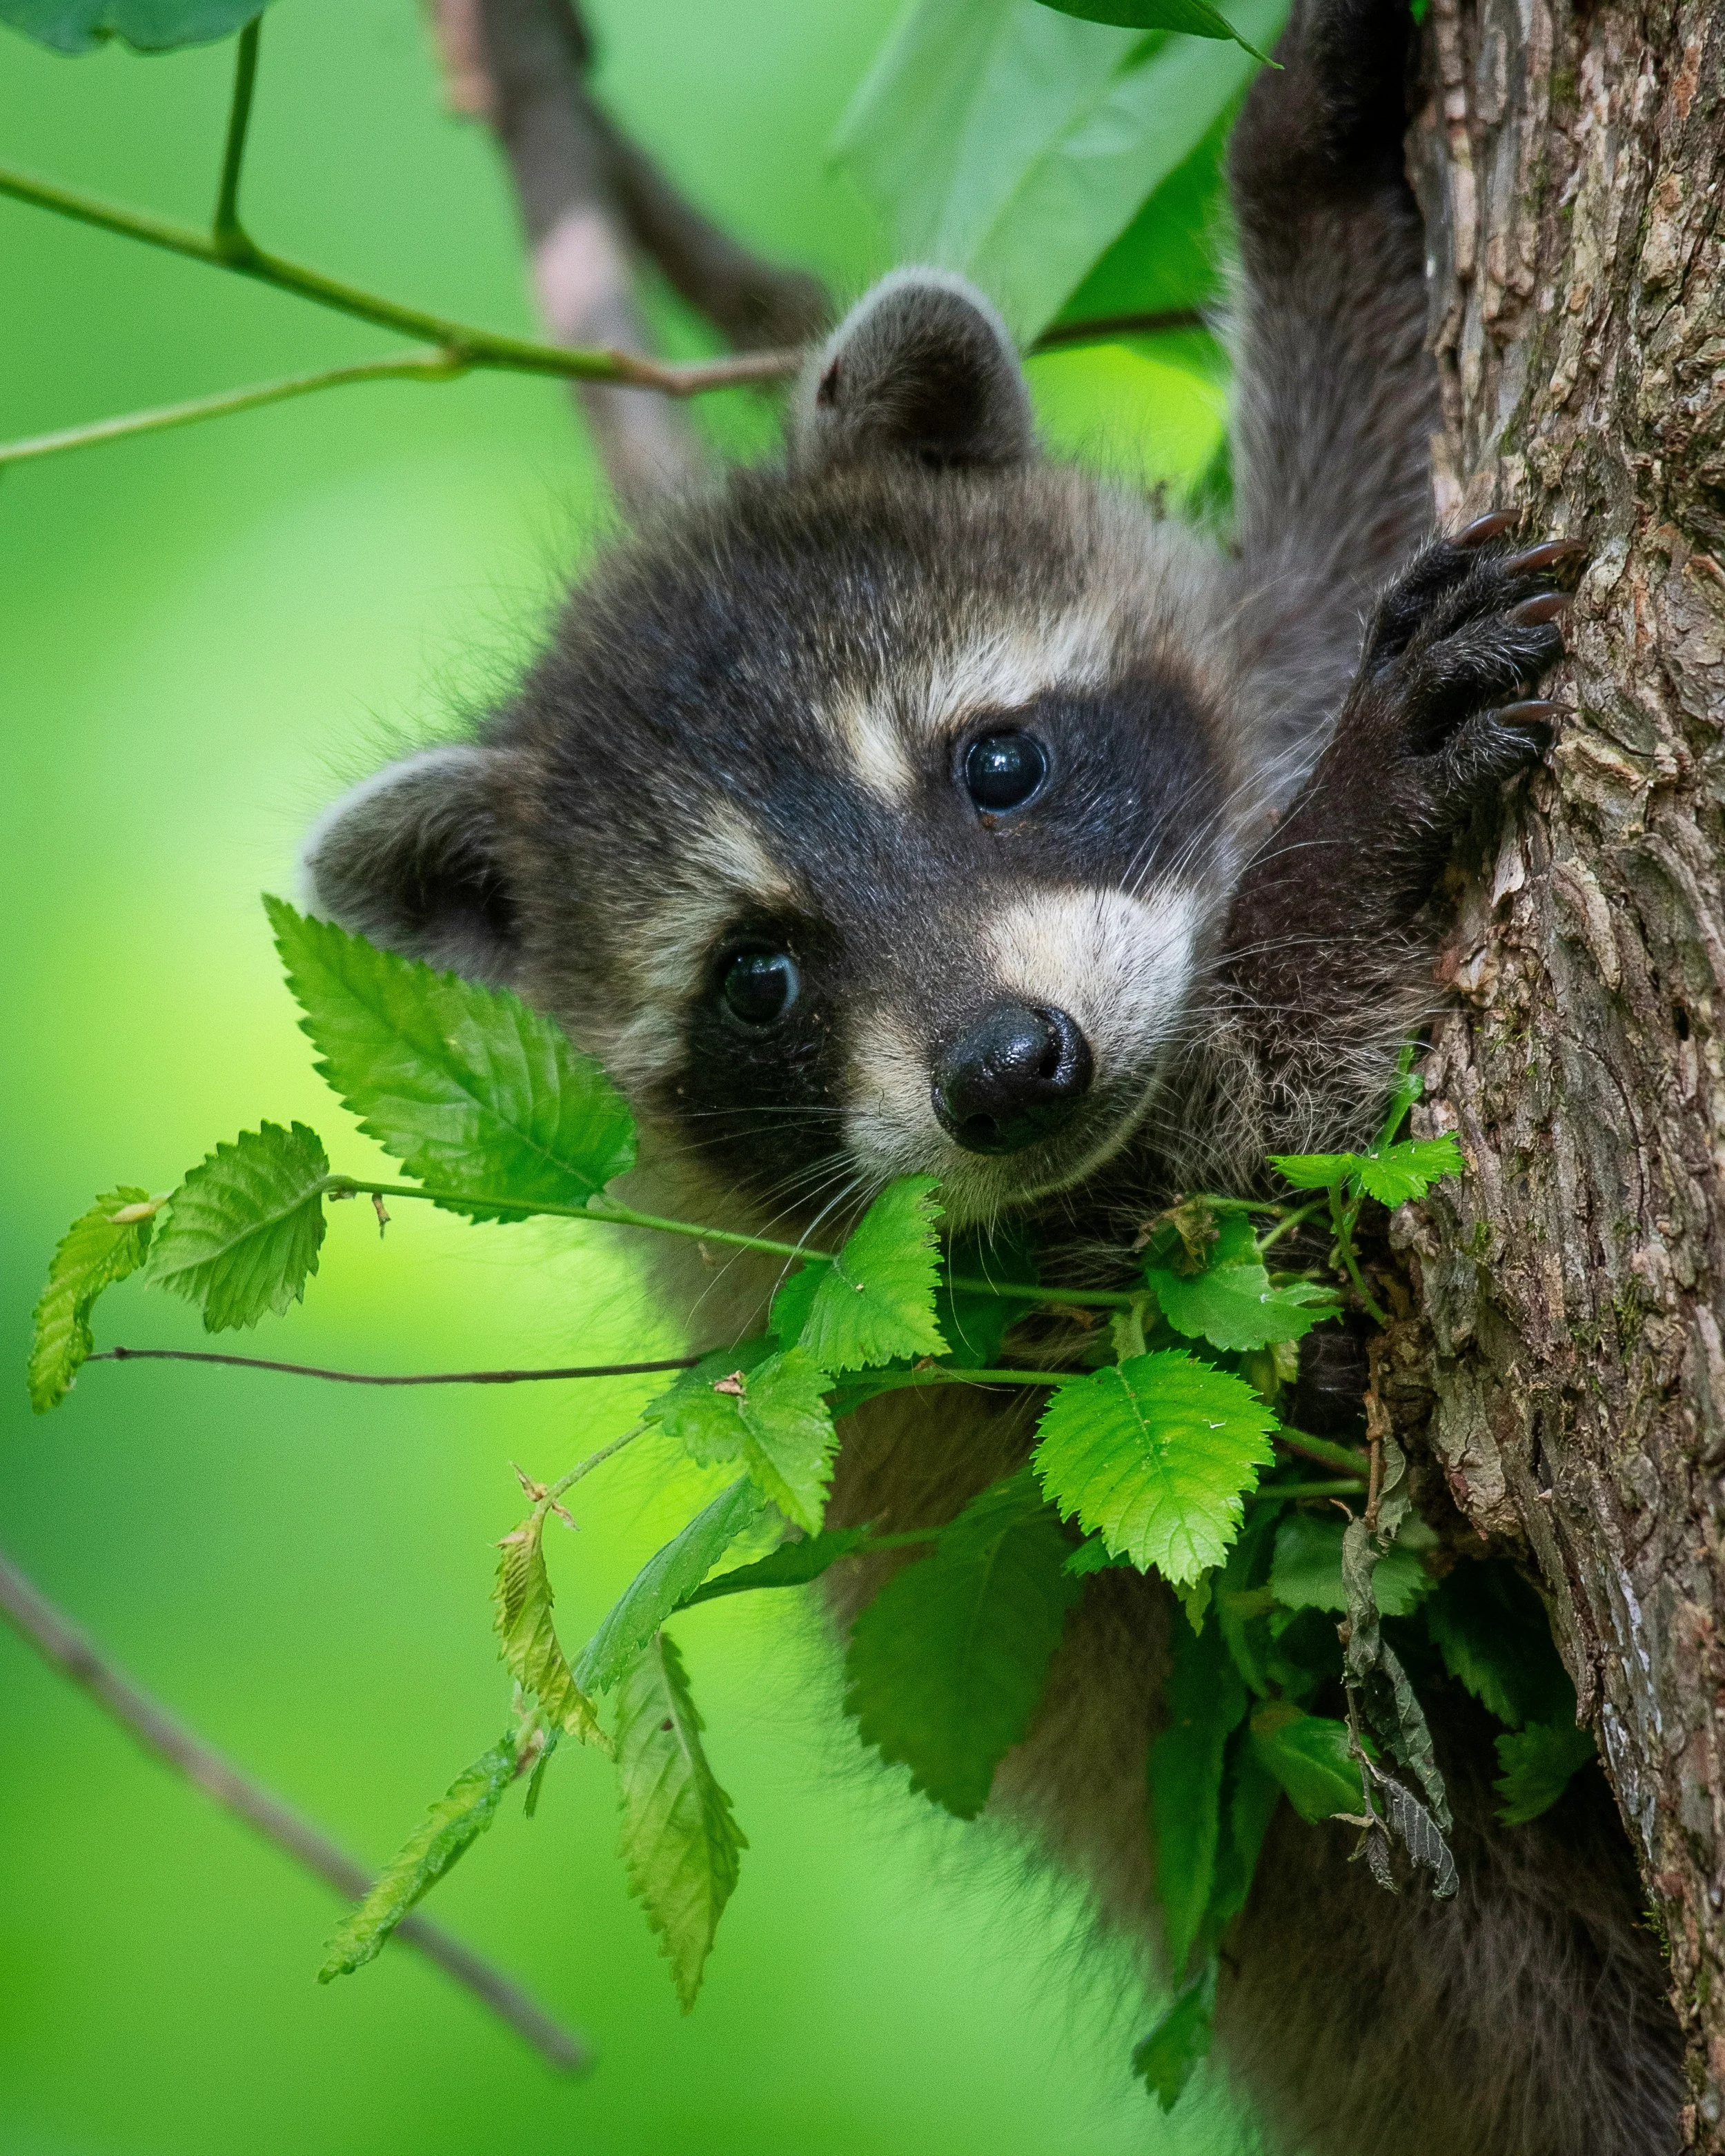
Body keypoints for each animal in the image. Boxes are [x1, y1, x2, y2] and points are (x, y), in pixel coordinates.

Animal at [300, 1, 1683, 2149]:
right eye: (761, 974)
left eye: (999, 763)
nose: (1014, 1071)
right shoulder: (974, 1329)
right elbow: (1258, 1182)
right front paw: (1345, 835)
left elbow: (1336, 539)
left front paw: (1304, 154)